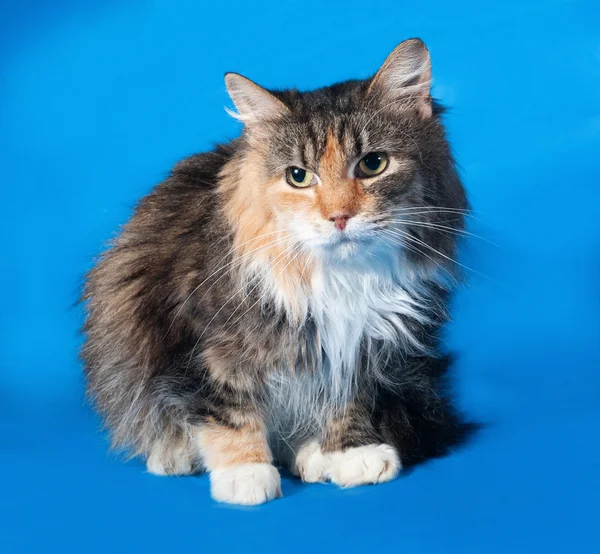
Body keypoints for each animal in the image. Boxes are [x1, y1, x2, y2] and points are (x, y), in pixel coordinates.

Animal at [82, 37, 474, 504]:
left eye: (373, 164)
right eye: (298, 176)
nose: (339, 217)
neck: (342, 279)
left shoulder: (361, 347)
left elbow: (350, 402)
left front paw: (350, 455)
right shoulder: (202, 346)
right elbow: (228, 410)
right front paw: (245, 473)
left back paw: (310, 455)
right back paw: (176, 455)